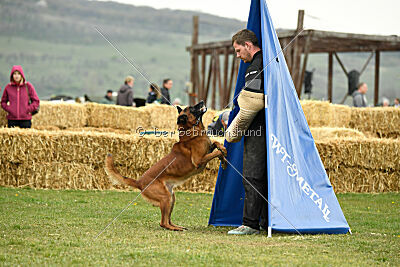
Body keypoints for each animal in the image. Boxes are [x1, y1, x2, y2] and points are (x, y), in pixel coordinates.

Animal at [104, 101, 227, 231]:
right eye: (192, 108)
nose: (202, 102)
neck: (192, 133)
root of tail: (139, 182)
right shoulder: (199, 161)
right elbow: (216, 152)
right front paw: (223, 153)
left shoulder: (208, 150)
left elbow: (216, 144)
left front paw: (223, 156)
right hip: (165, 197)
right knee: (163, 223)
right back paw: (176, 229)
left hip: (171, 197)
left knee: (167, 219)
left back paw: (178, 226)